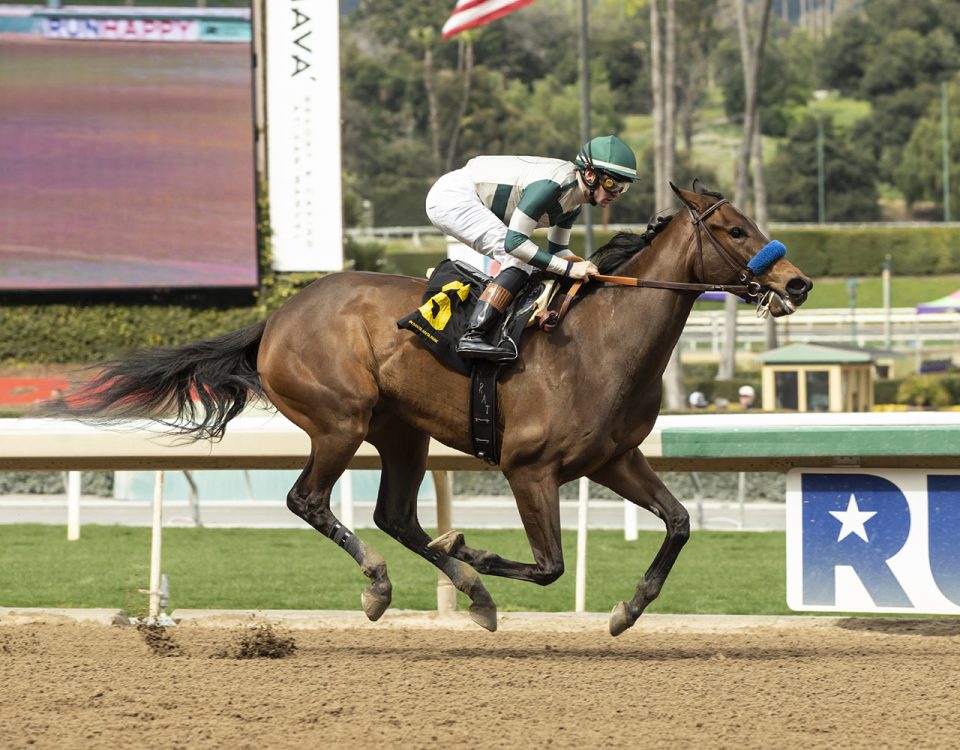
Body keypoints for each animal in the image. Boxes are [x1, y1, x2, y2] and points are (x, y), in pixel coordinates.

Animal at [54, 182, 808, 636]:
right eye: (735, 230)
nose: (797, 282)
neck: (599, 342)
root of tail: (276, 319)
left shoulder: (614, 458)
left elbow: (678, 523)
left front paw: (626, 609)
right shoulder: (529, 469)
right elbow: (549, 565)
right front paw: (469, 546)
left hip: (401, 433)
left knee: (394, 514)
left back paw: (470, 592)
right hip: (341, 420)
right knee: (309, 500)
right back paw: (383, 584)